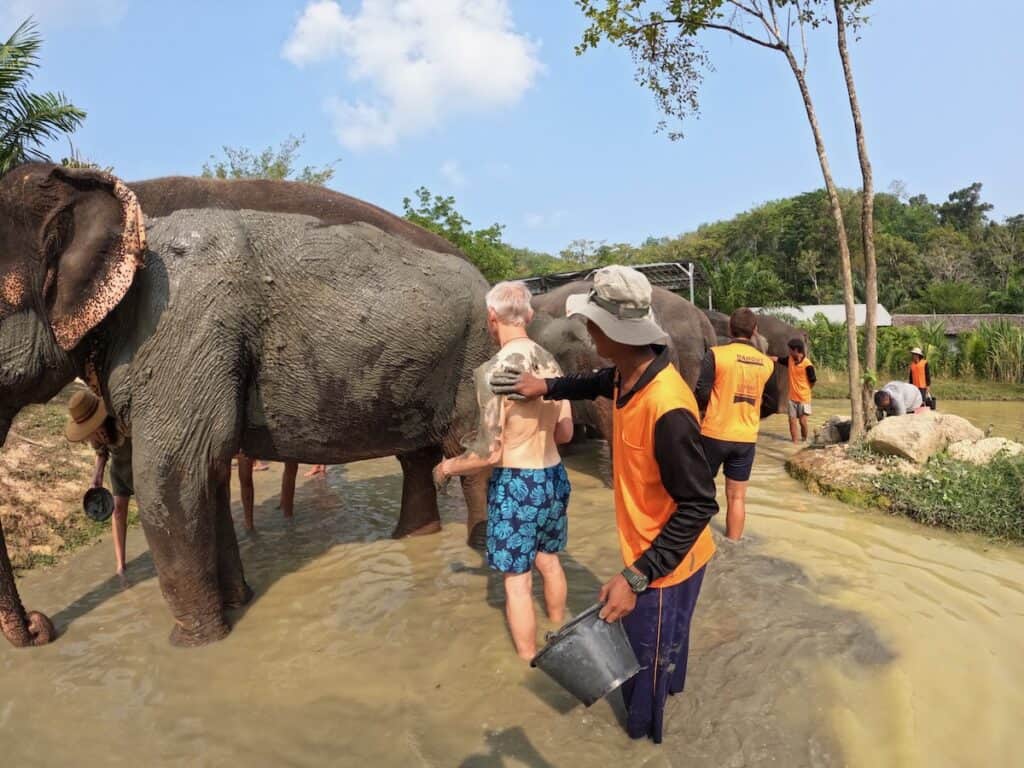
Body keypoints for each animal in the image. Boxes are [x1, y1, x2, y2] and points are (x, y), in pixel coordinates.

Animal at [0, 164, 493, 648]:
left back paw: (482, 552)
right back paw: (415, 537)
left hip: (475, 354)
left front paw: (195, 645)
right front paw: (238, 603)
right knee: (417, 458)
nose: (42, 627)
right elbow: (205, 472)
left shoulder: (182, 317)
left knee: (473, 456)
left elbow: (169, 474)